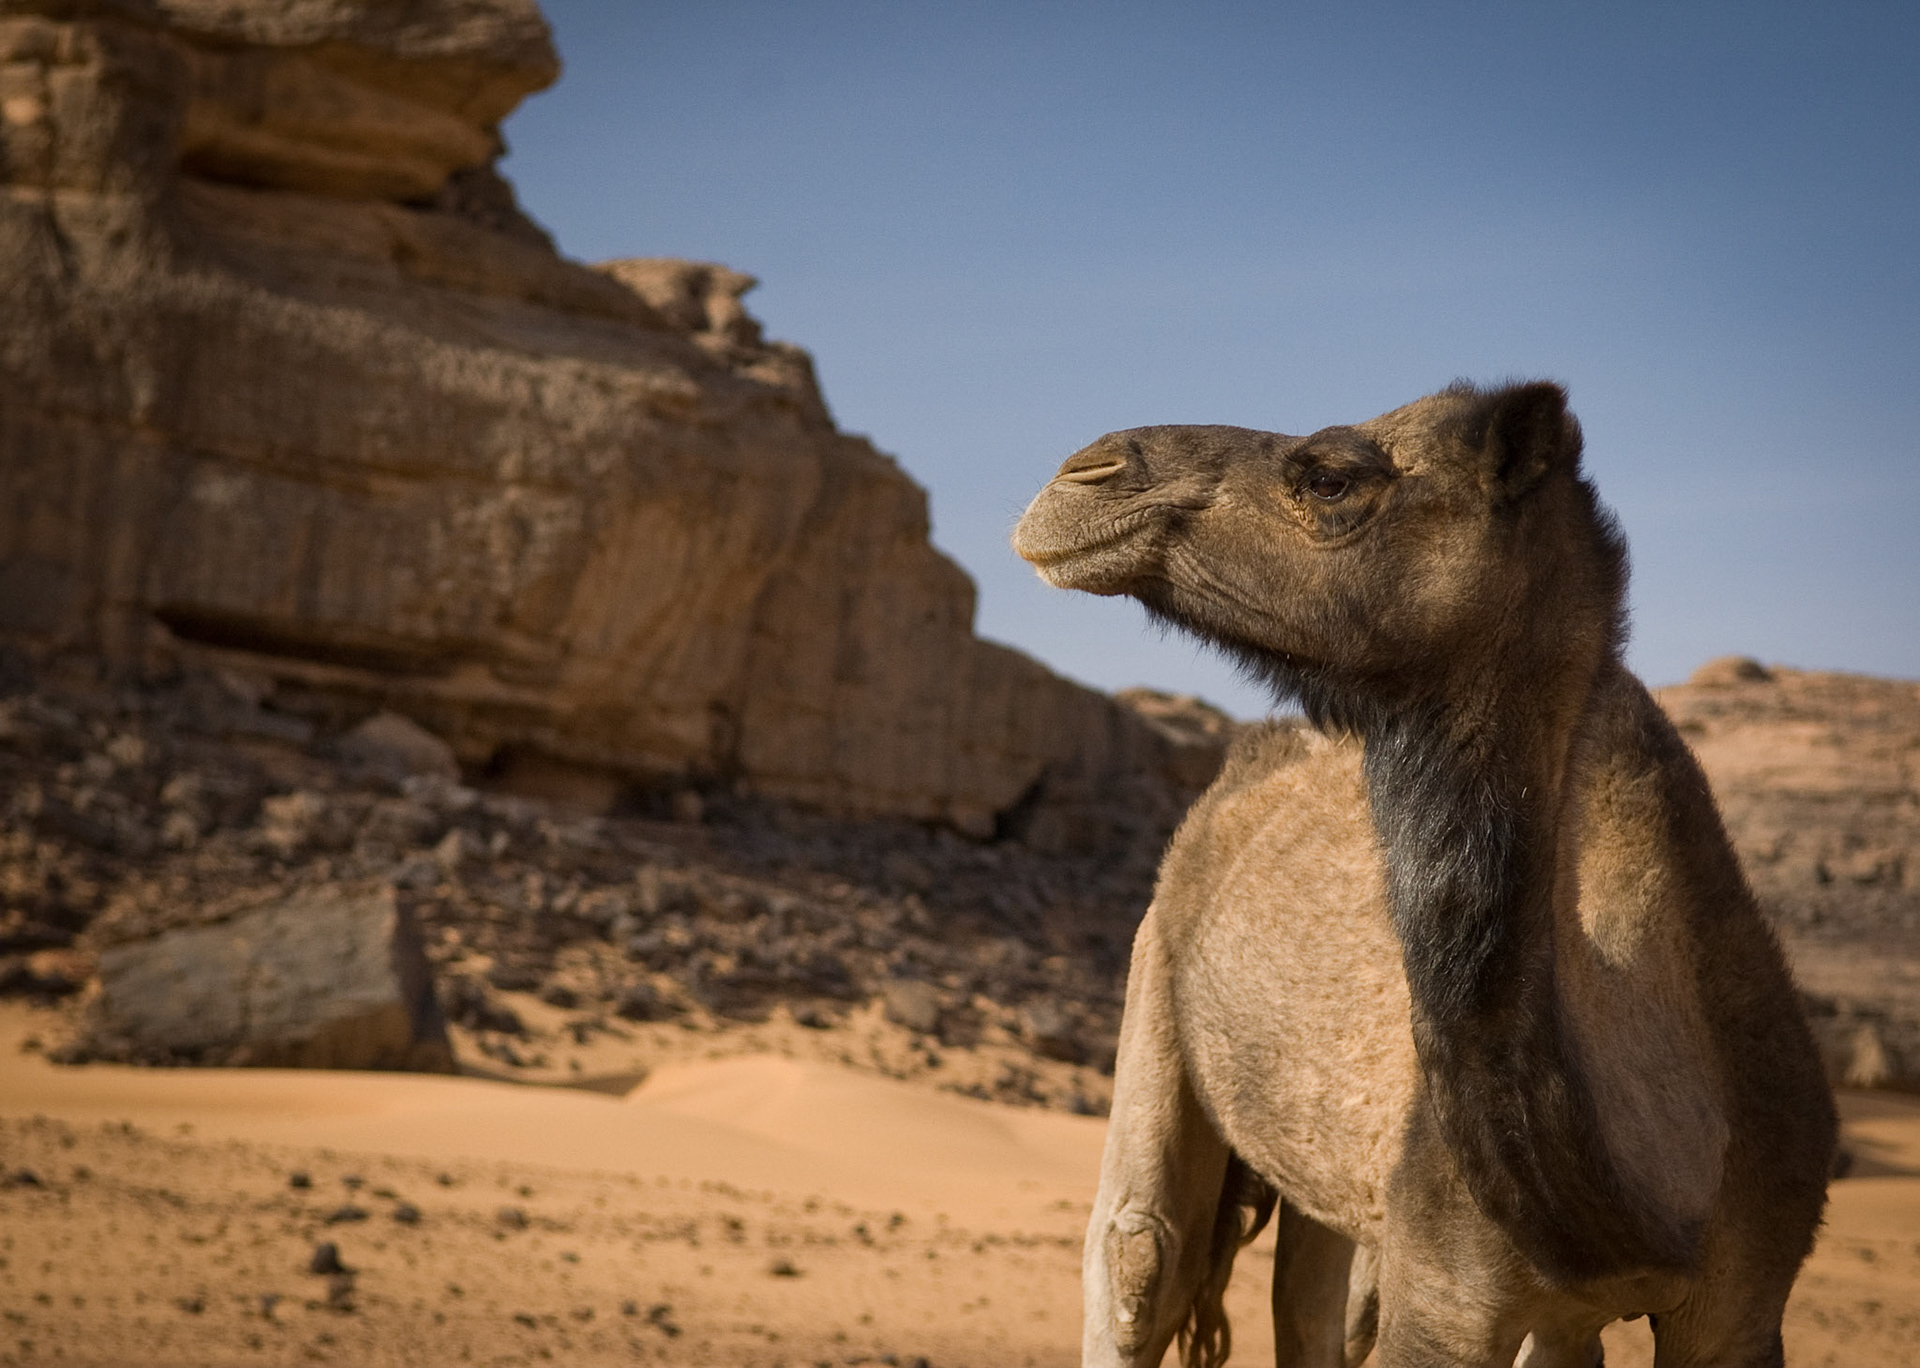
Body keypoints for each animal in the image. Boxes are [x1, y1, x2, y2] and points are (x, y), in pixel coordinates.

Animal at [1013, 382, 1835, 1368]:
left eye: (1331, 478)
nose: (1079, 475)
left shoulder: (1741, 1303)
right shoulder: (1447, 1290)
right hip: (1157, 974)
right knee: (1143, 1250)